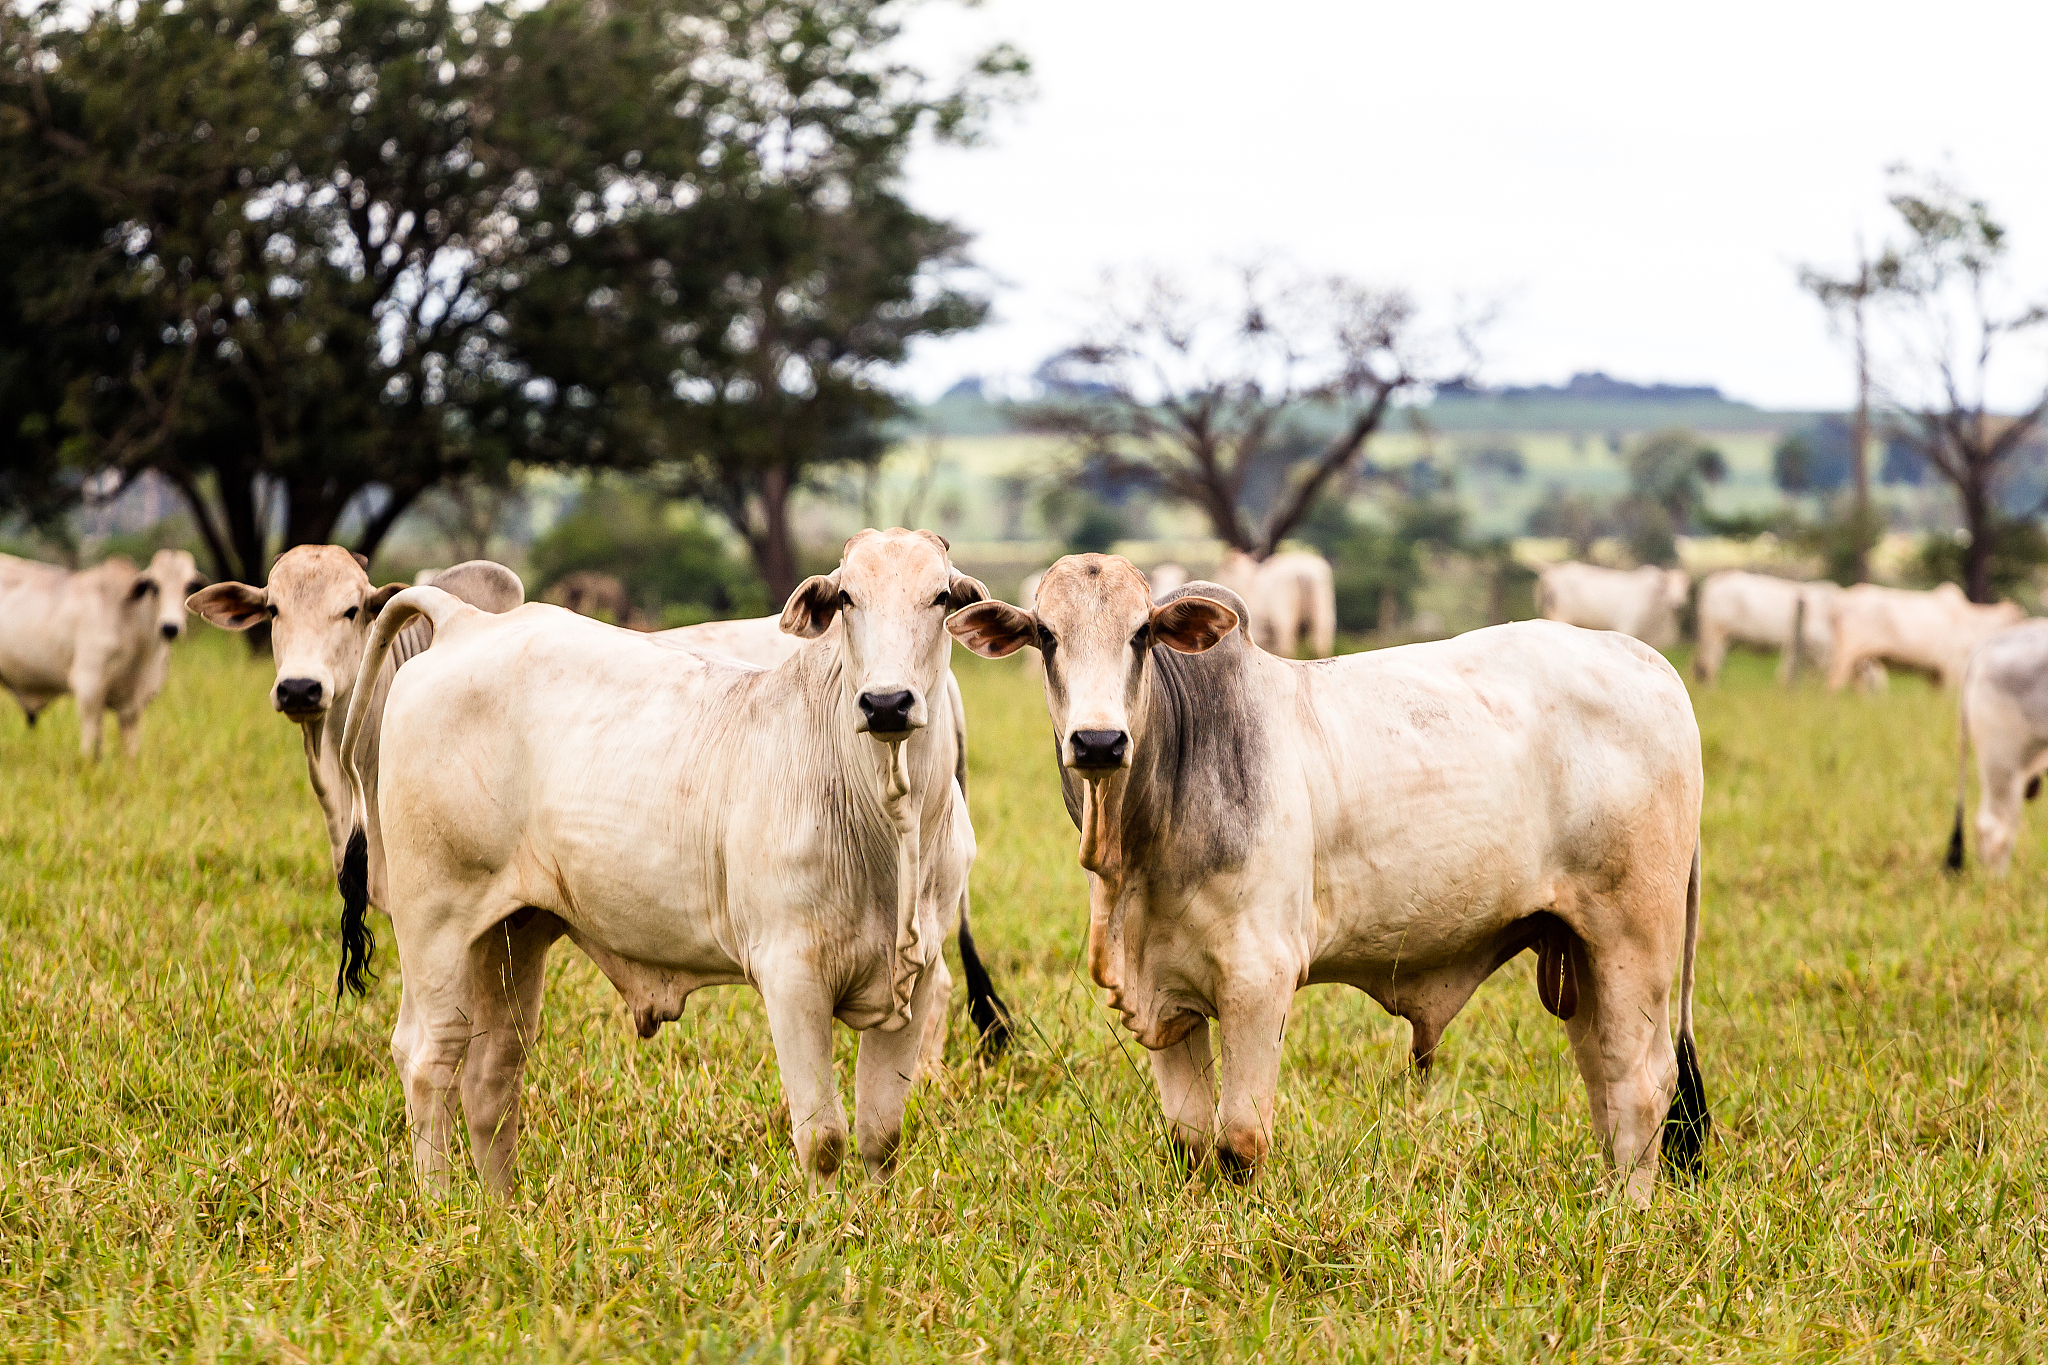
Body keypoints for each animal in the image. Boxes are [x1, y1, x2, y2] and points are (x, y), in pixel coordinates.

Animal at [0, 548, 205, 757]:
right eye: (154, 586)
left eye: (189, 587)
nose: (170, 627)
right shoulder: (88, 688)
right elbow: (91, 748)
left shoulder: (133, 708)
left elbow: (131, 752)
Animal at [331, 529, 1003, 1193]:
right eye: (846, 598)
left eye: (941, 597)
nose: (886, 703)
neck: (889, 825)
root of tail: (463, 621)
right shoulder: (792, 976)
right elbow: (824, 1140)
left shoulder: (916, 977)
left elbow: (879, 1135)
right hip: (435, 923)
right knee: (429, 1057)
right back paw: (440, 1205)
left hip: (511, 932)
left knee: (492, 1073)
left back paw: (499, 1208)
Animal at [1826, 582, 2025, 691]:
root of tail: (1841, 599)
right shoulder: (1951, 669)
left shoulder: (1934, 673)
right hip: (1845, 653)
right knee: (1833, 682)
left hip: (1860, 660)